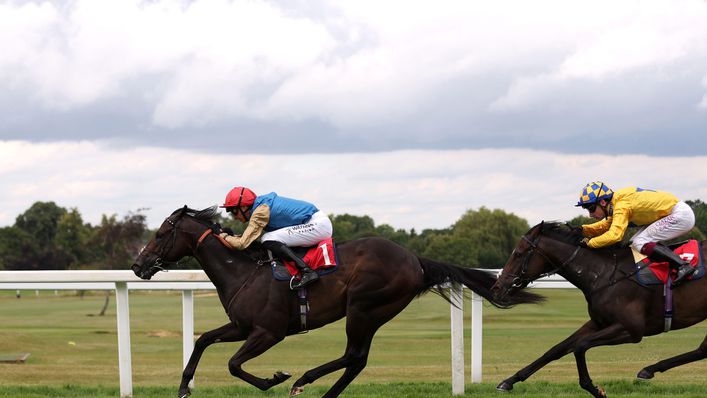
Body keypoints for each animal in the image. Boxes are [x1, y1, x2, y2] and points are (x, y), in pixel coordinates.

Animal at [131, 205, 544, 398]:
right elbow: (202, 340)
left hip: (363, 306)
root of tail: (415, 259)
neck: (243, 270)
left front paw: (275, 378)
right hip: (373, 313)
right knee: (357, 360)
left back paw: (304, 380)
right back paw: (322, 389)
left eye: (162, 232)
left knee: (353, 355)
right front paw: (184, 386)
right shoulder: (241, 326)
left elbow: (234, 364)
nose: (137, 265)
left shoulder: (268, 332)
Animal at [490, 222, 707, 396]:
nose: (496, 288)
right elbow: (557, 349)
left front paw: (594, 388)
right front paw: (509, 381)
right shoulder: (598, 322)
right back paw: (649, 369)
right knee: (703, 349)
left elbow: (580, 346)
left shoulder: (632, 329)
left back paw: (648, 369)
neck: (603, 274)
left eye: (518, 253)